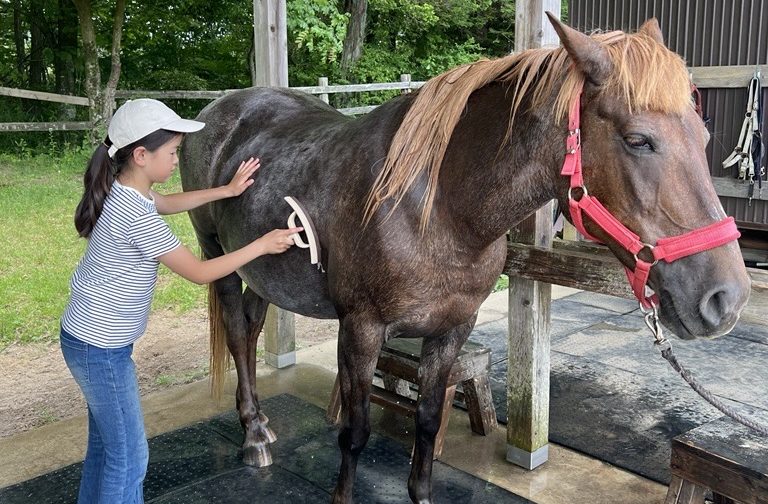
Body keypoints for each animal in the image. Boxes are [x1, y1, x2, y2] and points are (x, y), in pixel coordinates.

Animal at [179, 14, 751, 504]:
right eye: (638, 140)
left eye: (702, 135)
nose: (727, 298)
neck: (437, 210)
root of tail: (218, 111)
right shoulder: (360, 328)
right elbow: (355, 432)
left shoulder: (453, 326)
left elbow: (428, 422)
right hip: (217, 255)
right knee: (237, 334)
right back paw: (253, 438)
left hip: (263, 270)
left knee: (252, 324)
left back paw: (260, 423)